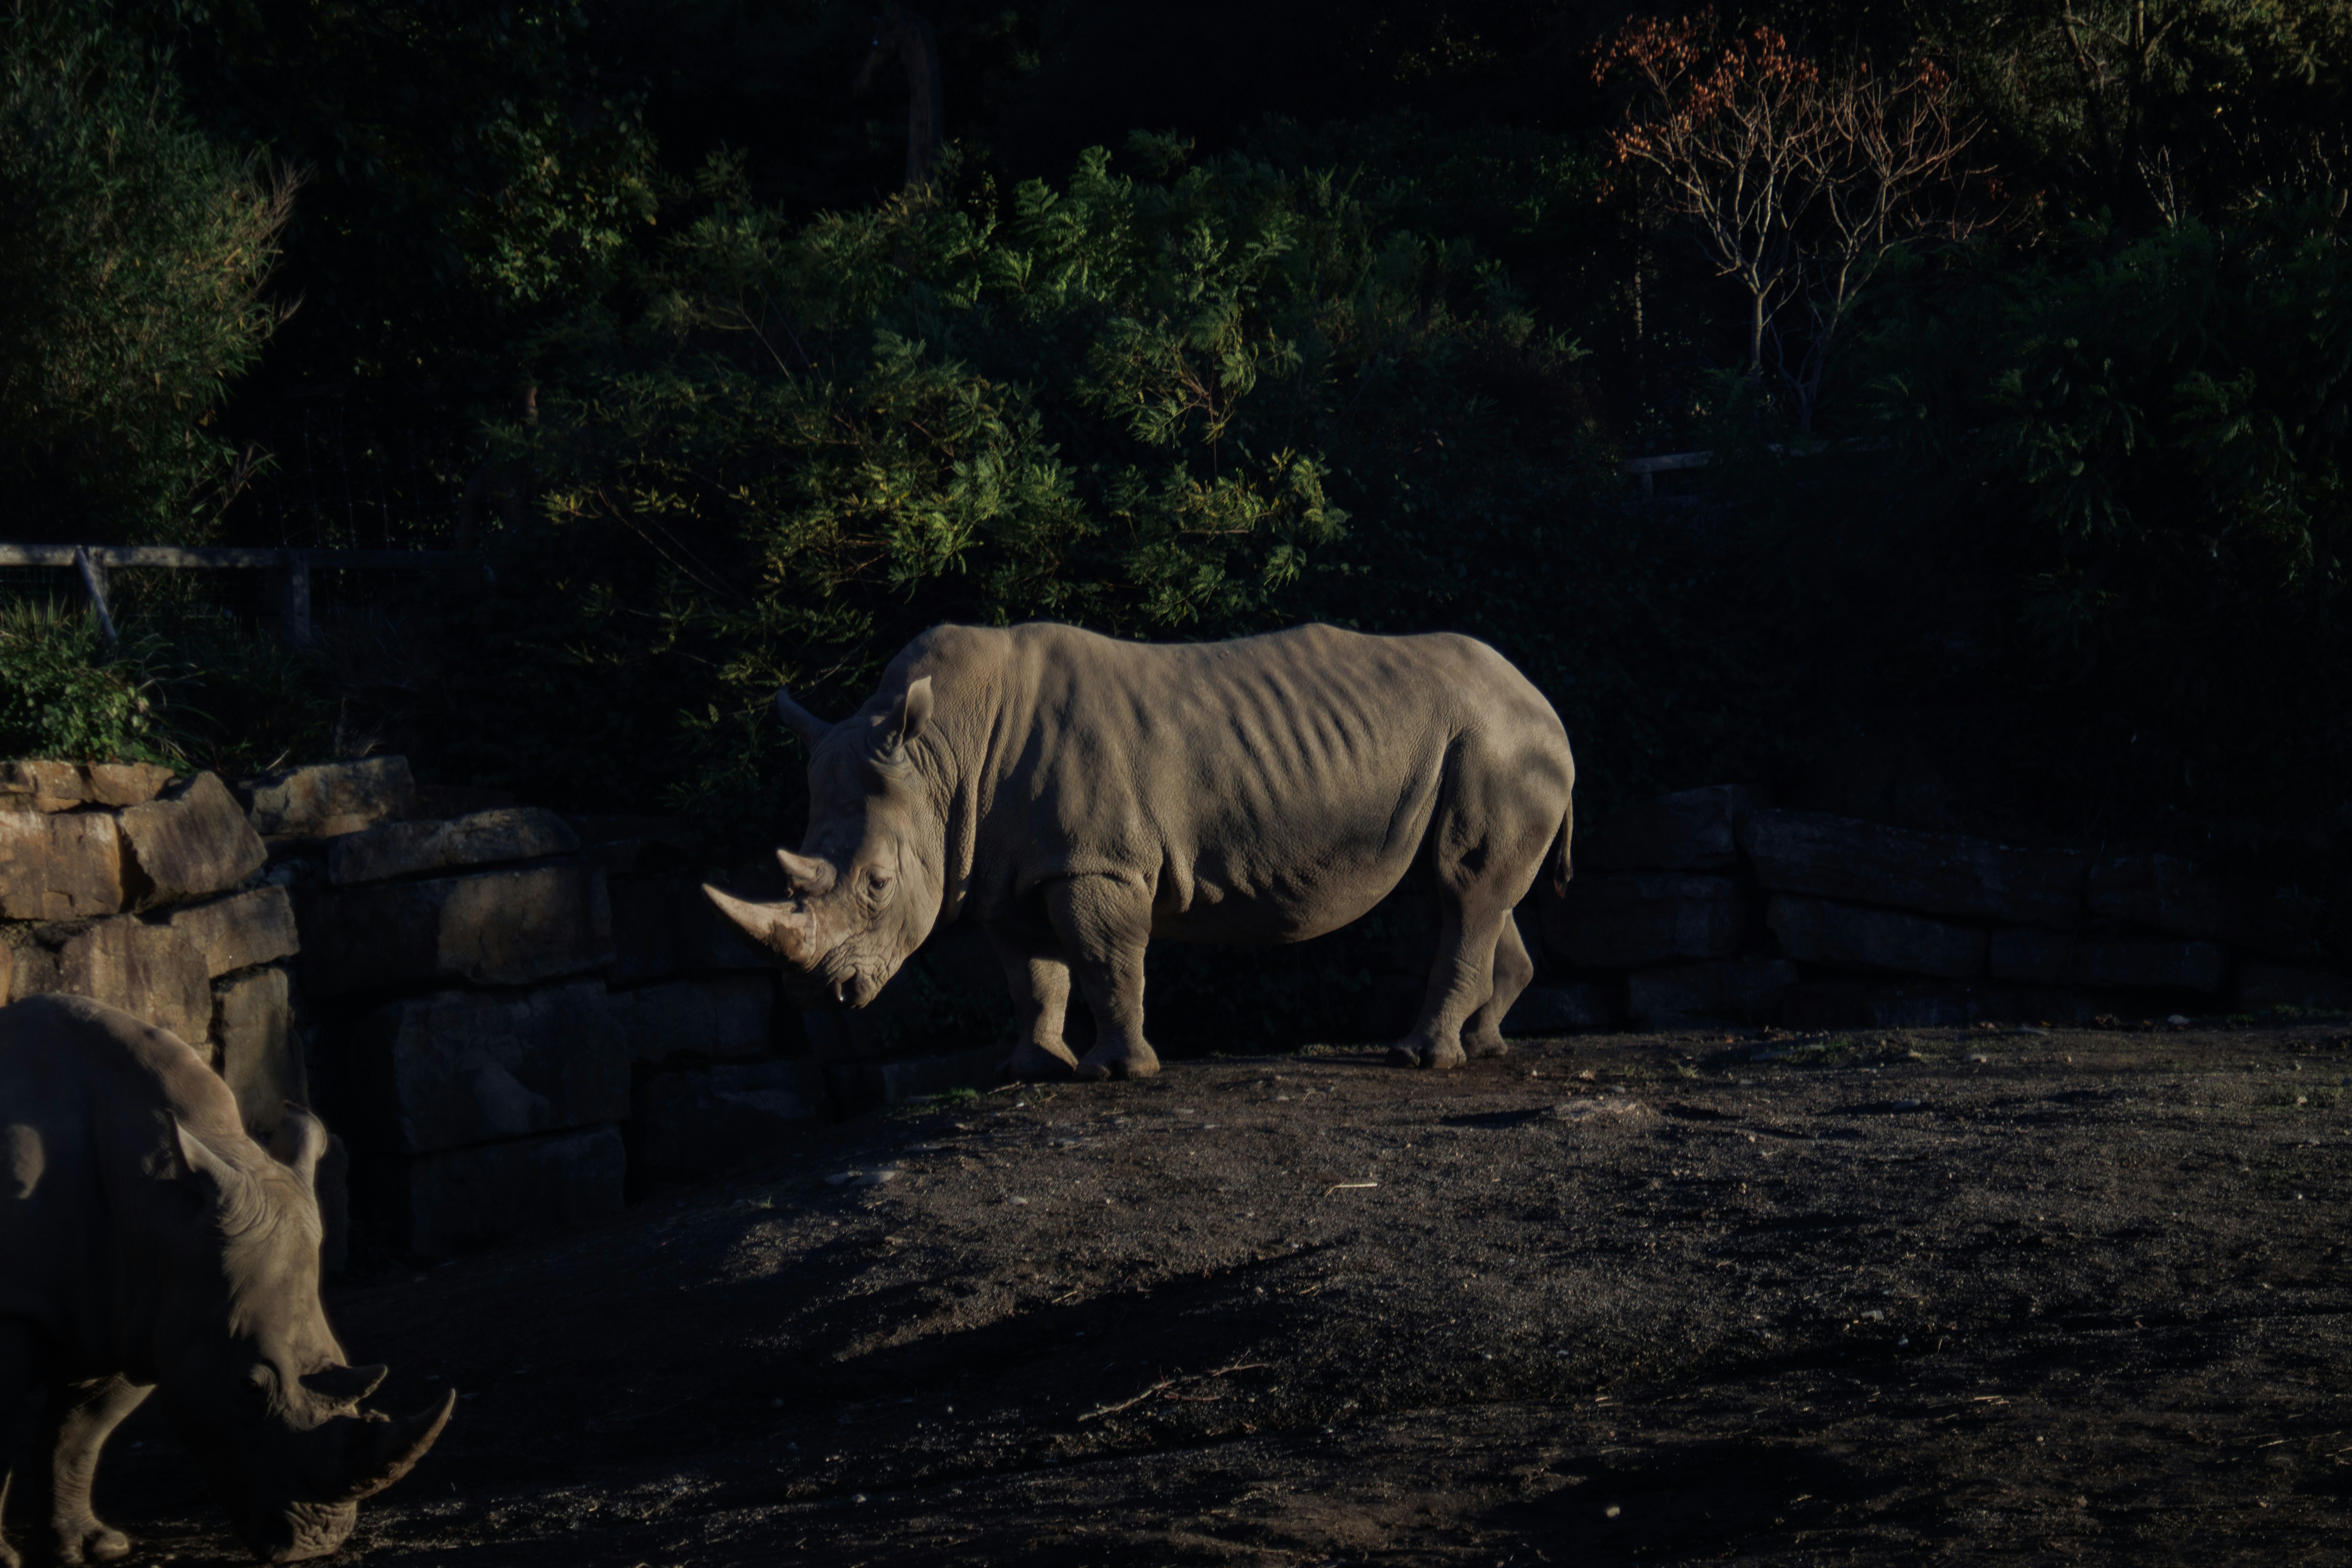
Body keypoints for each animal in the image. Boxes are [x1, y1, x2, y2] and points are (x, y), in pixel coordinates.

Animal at [0, 994, 453, 1565]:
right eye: (250, 1387)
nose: (316, 1543)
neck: (163, 1208)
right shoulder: (26, 1305)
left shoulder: (142, 1310)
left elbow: (81, 1431)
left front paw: (94, 1549)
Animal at [705, 621, 1575, 1077]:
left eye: (879, 883)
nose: (820, 995)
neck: (940, 754)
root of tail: (1545, 700)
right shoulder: (1003, 870)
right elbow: (1033, 975)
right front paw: (1033, 1067)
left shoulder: (1095, 862)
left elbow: (1104, 960)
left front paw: (1116, 1071)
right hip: (1487, 741)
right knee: (1470, 892)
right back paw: (1485, 1043)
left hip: (1500, 742)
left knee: (1463, 888)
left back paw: (1421, 1057)